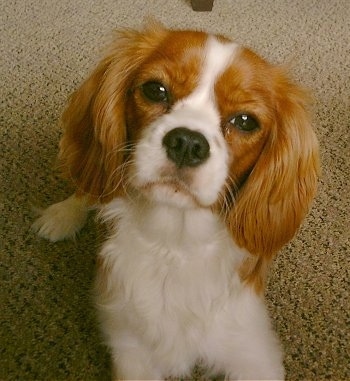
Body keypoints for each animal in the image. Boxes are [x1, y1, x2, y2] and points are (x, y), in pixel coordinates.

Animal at [32, 22, 320, 378]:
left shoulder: (254, 353)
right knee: (92, 185)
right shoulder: (132, 353)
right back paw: (62, 215)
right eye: (155, 90)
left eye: (245, 121)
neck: (176, 241)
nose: (187, 143)